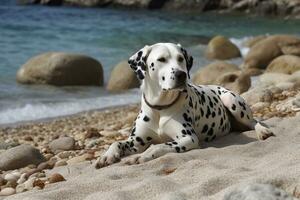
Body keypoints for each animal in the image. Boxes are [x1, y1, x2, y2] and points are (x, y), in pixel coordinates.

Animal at [95, 42, 274, 169]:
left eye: (181, 58)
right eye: (161, 60)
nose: (181, 74)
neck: (160, 108)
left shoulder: (188, 138)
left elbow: (157, 146)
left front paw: (142, 156)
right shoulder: (135, 142)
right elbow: (116, 142)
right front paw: (107, 156)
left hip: (231, 100)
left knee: (254, 121)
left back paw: (262, 131)